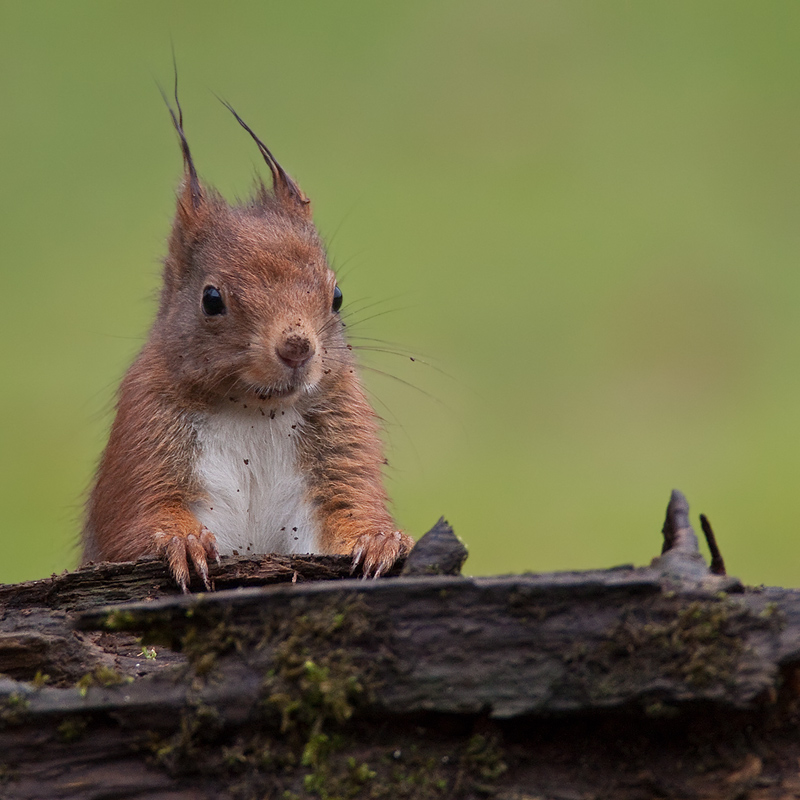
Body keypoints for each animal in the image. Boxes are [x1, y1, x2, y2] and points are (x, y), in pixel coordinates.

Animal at [83, 97, 412, 592]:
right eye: (211, 299)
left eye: (336, 295)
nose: (297, 348)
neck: (254, 410)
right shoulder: (142, 440)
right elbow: (138, 521)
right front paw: (183, 542)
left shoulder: (340, 453)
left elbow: (346, 510)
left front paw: (379, 541)